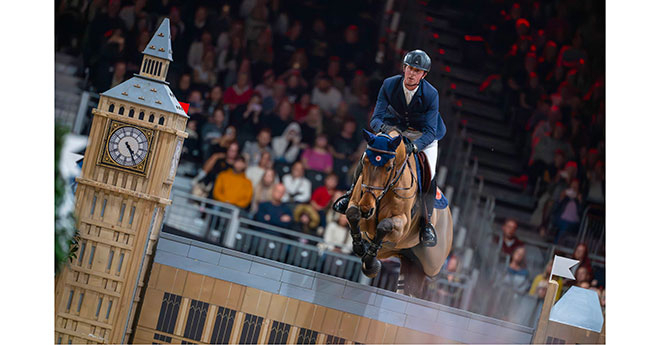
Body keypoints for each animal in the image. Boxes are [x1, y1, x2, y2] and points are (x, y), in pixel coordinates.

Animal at [346, 128, 454, 296]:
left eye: (389, 167)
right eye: (364, 162)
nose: (366, 208)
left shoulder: (401, 225)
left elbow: (383, 226)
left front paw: (371, 264)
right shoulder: (357, 207)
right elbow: (352, 215)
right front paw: (360, 247)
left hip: (431, 265)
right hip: (409, 261)